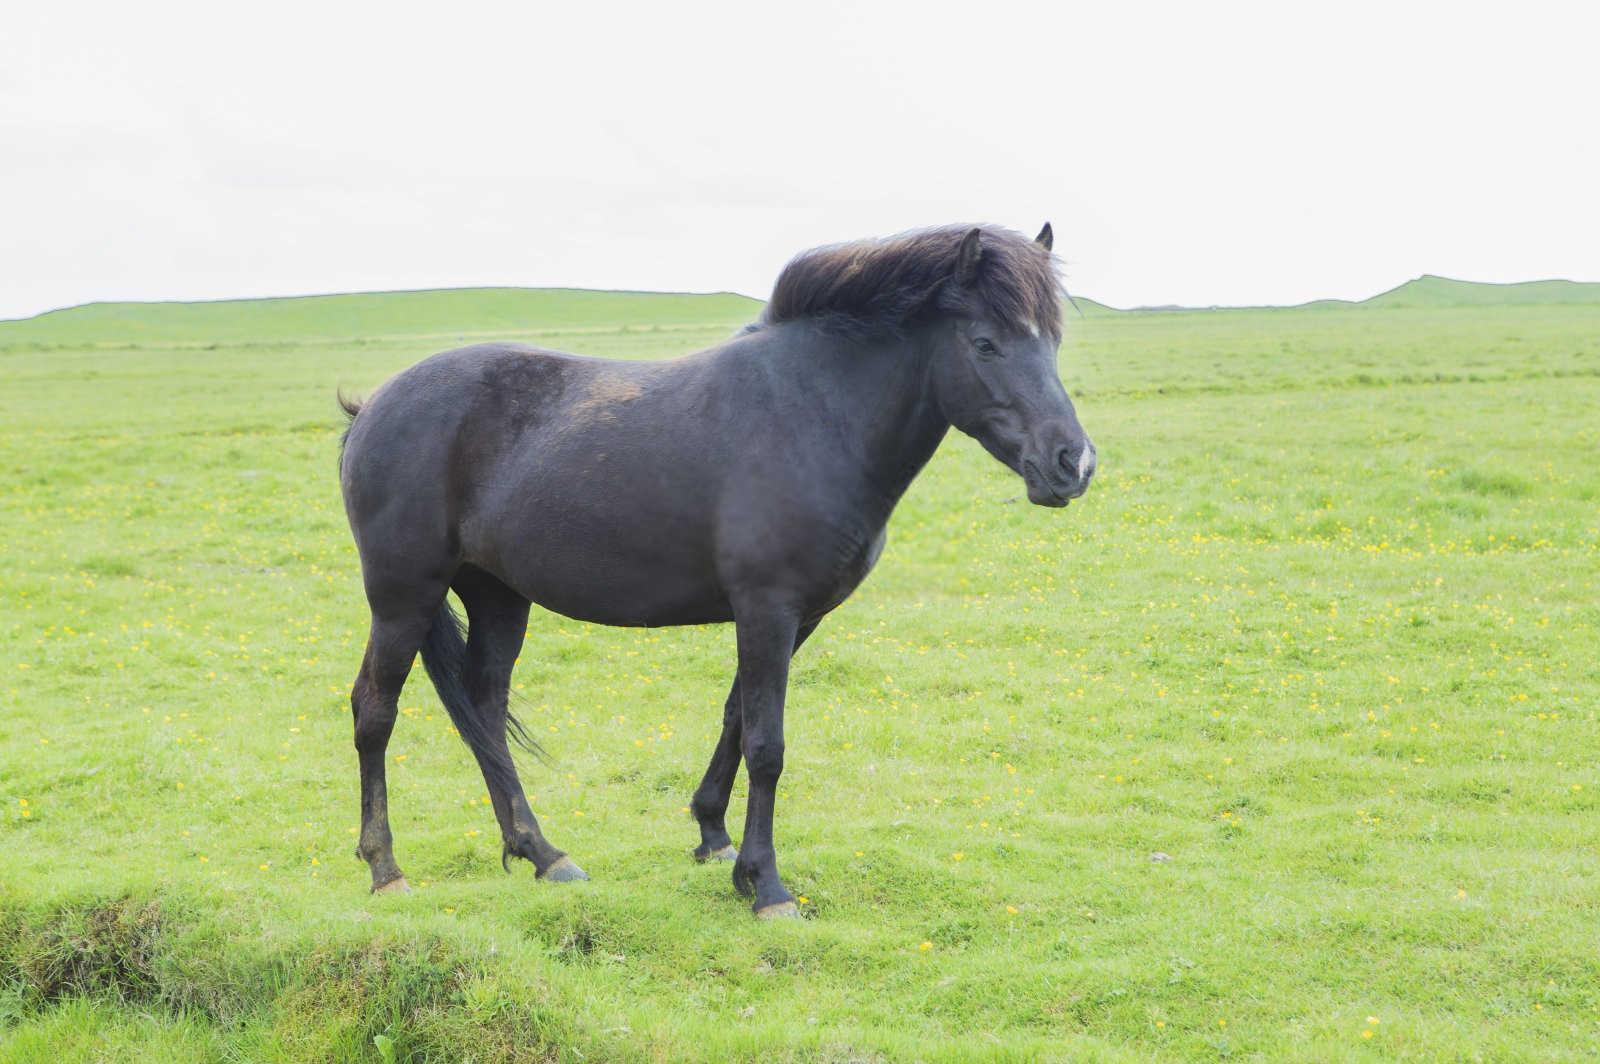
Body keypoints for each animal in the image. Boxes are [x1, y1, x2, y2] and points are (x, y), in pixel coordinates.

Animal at [342, 222, 1094, 915]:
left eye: (1053, 342)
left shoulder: (794, 617)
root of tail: (371, 406)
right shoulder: (767, 608)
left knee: (485, 707)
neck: (813, 414)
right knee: (375, 709)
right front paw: (768, 886)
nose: (1074, 463)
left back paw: (542, 853)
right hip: (403, 595)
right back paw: (386, 868)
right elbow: (767, 743)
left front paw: (715, 838)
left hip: (498, 594)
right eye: (985, 343)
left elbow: (736, 716)